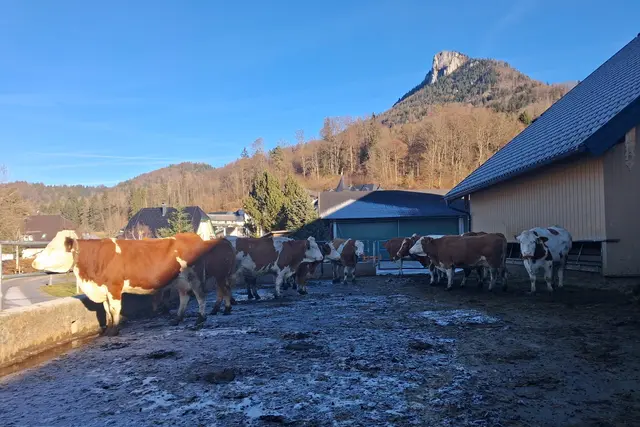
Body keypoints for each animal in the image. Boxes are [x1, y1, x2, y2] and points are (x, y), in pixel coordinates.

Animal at [32, 231, 231, 335]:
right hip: (180, 279)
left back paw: (201, 317)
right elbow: (106, 310)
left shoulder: (114, 287)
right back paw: (178, 318)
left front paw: (115, 329)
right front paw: (108, 328)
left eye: (52, 249)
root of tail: (193, 236)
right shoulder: (104, 290)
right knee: (184, 297)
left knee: (200, 296)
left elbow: (114, 309)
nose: (33, 263)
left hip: (194, 276)